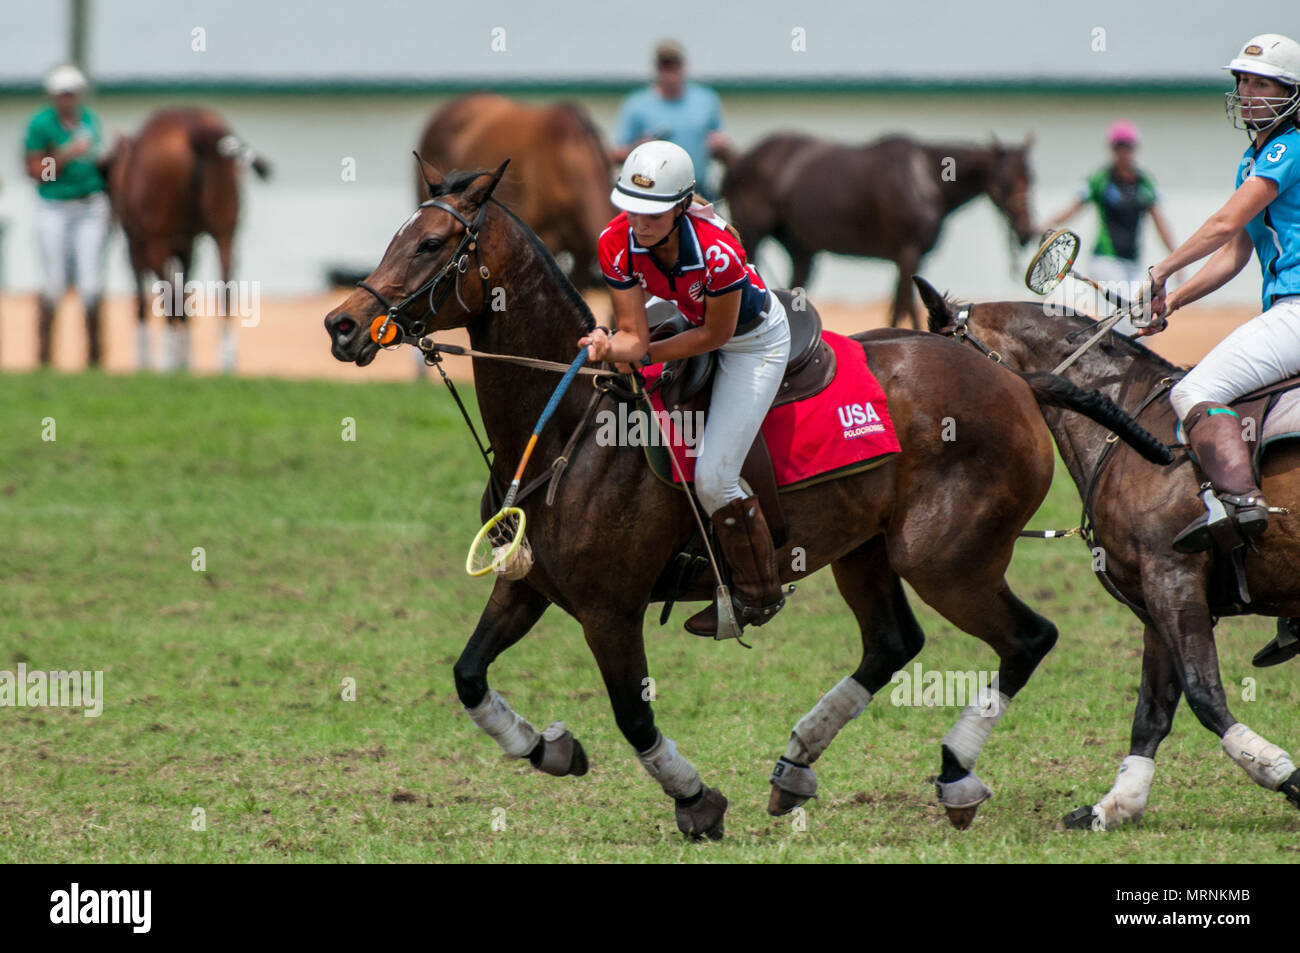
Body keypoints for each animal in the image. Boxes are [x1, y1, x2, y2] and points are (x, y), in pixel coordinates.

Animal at [103, 105, 271, 369]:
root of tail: (195, 128)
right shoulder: (188, 245)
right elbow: (185, 294)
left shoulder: (137, 246)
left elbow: (147, 300)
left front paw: (148, 359)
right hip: (225, 232)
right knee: (225, 287)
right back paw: (225, 359)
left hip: (157, 239)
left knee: (167, 294)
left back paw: (169, 360)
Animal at [317, 163, 1170, 842]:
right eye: (399, 234)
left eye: (432, 244)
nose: (340, 323)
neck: (569, 424)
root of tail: (1017, 379)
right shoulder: (530, 583)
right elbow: (468, 675)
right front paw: (550, 747)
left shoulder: (608, 606)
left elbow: (632, 714)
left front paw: (694, 799)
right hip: (865, 549)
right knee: (893, 642)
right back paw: (795, 764)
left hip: (946, 558)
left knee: (1028, 637)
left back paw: (955, 773)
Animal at [722, 131, 1034, 328]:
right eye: (1007, 181)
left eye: (1031, 178)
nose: (1026, 231)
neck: (926, 177)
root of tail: (738, 160)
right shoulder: (908, 253)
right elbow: (908, 305)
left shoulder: (906, 257)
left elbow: (898, 305)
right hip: (753, 235)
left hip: (801, 249)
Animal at [915, 275, 1300, 826]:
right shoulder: (1154, 597)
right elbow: (1153, 710)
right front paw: (1115, 804)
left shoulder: (1172, 576)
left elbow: (1204, 694)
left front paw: (1282, 774)